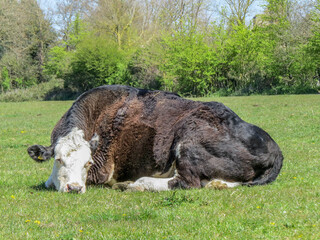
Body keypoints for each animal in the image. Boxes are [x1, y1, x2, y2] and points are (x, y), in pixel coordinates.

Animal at [26, 84, 282, 193]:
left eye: (88, 163)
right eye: (58, 159)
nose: (74, 188)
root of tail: (274, 147)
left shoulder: (101, 170)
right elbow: (49, 180)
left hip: (188, 141)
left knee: (186, 183)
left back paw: (134, 185)